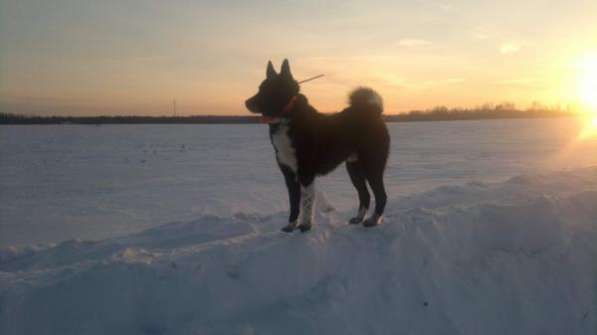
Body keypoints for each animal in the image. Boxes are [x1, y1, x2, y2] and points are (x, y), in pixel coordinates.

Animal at [244, 60, 388, 232]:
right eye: (259, 88)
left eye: (268, 90)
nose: (246, 102)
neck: (287, 117)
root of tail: (373, 111)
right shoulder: (289, 175)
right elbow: (294, 204)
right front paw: (291, 225)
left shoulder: (306, 174)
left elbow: (306, 202)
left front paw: (305, 225)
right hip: (354, 168)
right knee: (364, 194)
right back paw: (359, 218)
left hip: (372, 166)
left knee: (381, 195)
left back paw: (373, 220)